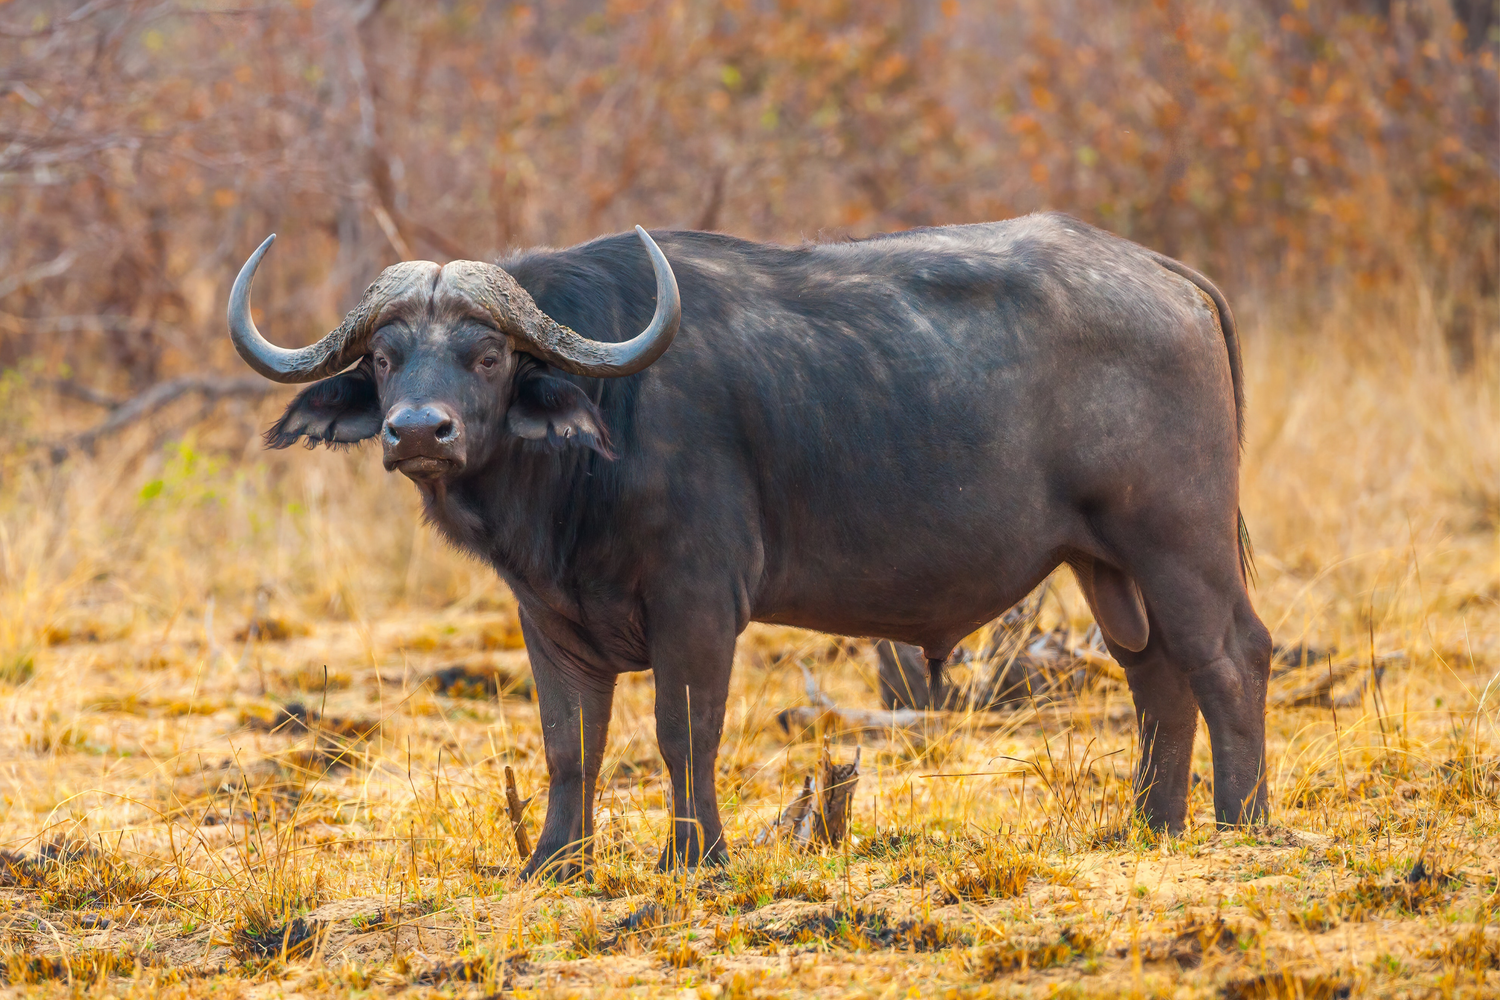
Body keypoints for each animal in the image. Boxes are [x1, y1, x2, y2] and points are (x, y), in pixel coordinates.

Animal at [228, 212, 1272, 875]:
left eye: (487, 356)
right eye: (384, 357)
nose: (418, 432)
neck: (604, 434)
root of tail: (1170, 277)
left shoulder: (697, 603)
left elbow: (684, 730)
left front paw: (693, 857)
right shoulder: (549, 619)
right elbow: (571, 743)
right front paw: (554, 864)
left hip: (1177, 542)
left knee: (1231, 658)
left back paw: (1241, 822)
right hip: (1108, 565)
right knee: (1156, 676)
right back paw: (1151, 827)